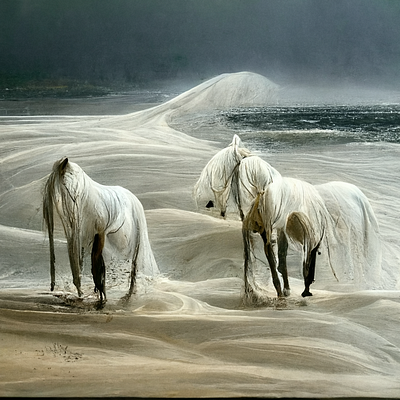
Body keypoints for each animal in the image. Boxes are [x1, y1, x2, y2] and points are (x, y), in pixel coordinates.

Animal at [42, 157, 158, 304]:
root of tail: (135, 199)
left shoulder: (98, 231)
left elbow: (96, 266)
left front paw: (98, 295)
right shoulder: (81, 235)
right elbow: (83, 266)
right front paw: (85, 294)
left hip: (136, 240)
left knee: (133, 268)